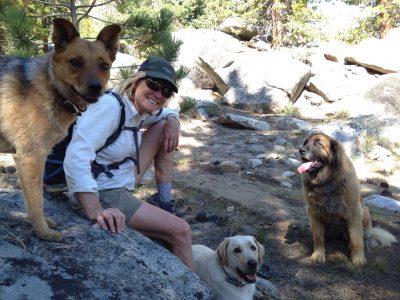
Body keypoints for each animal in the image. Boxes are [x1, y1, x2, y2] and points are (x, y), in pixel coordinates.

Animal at [0, 18, 120, 241]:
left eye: (104, 66)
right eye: (75, 62)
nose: (96, 87)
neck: (52, 86)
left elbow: (32, 199)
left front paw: (40, 225)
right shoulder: (31, 158)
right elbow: (37, 200)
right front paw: (43, 231)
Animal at [296, 132, 396, 266]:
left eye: (318, 143)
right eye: (306, 142)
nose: (300, 150)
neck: (327, 181)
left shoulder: (353, 212)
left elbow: (356, 239)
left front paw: (358, 258)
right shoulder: (313, 212)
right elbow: (318, 237)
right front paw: (318, 254)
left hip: (365, 212)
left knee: (363, 238)